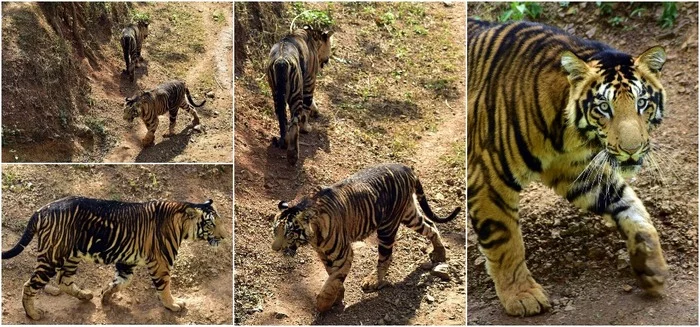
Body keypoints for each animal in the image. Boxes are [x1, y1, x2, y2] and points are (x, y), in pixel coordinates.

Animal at [0, 197, 224, 320]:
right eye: (211, 224)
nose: (223, 237)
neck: (181, 224)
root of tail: (42, 209)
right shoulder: (161, 263)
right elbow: (165, 287)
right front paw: (173, 305)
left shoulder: (127, 262)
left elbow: (122, 282)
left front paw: (105, 295)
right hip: (52, 257)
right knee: (29, 285)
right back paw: (33, 314)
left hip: (71, 256)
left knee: (64, 281)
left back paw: (85, 295)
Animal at [266, 25, 334, 167]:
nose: (328, 60)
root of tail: (281, 61)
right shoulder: (310, 80)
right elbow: (306, 109)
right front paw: (306, 127)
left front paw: (315, 110)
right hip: (295, 95)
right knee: (294, 123)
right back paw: (293, 155)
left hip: (276, 94)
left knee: (282, 119)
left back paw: (285, 142)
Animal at [270, 163, 462, 312]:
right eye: (275, 231)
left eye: (289, 233)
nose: (275, 248)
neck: (314, 238)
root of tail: (406, 167)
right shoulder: (324, 254)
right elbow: (332, 276)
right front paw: (338, 297)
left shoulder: (343, 254)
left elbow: (334, 279)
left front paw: (324, 305)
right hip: (409, 215)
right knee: (431, 226)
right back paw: (439, 253)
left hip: (387, 228)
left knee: (386, 256)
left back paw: (373, 281)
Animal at [468, 18, 668, 318]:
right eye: (603, 107)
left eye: (642, 103)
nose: (631, 150)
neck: (570, 136)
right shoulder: (490, 176)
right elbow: (505, 241)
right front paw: (522, 296)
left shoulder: (578, 173)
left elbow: (630, 206)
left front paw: (651, 265)